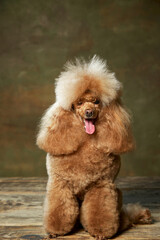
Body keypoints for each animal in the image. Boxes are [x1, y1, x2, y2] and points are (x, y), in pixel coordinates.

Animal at [36, 55, 151, 238]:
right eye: (79, 103)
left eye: (96, 102)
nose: (89, 112)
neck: (86, 141)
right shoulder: (60, 183)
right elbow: (59, 207)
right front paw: (56, 231)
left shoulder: (102, 185)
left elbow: (99, 210)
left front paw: (101, 232)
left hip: (117, 195)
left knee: (124, 219)